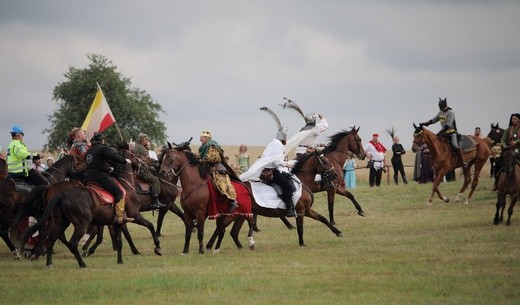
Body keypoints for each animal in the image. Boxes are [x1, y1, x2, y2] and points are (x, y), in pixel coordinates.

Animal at [21, 144, 161, 266]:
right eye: (135, 154)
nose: (150, 164)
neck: (126, 185)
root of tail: (61, 194)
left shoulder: (116, 222)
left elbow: (118, 239)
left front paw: (120, 259)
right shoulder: (134, 215)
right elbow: (150, 226)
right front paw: (157, 247)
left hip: (62, 222)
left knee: (51, 238)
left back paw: (47, 261)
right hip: (81, 223)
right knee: (70, 241)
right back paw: (80, 263)